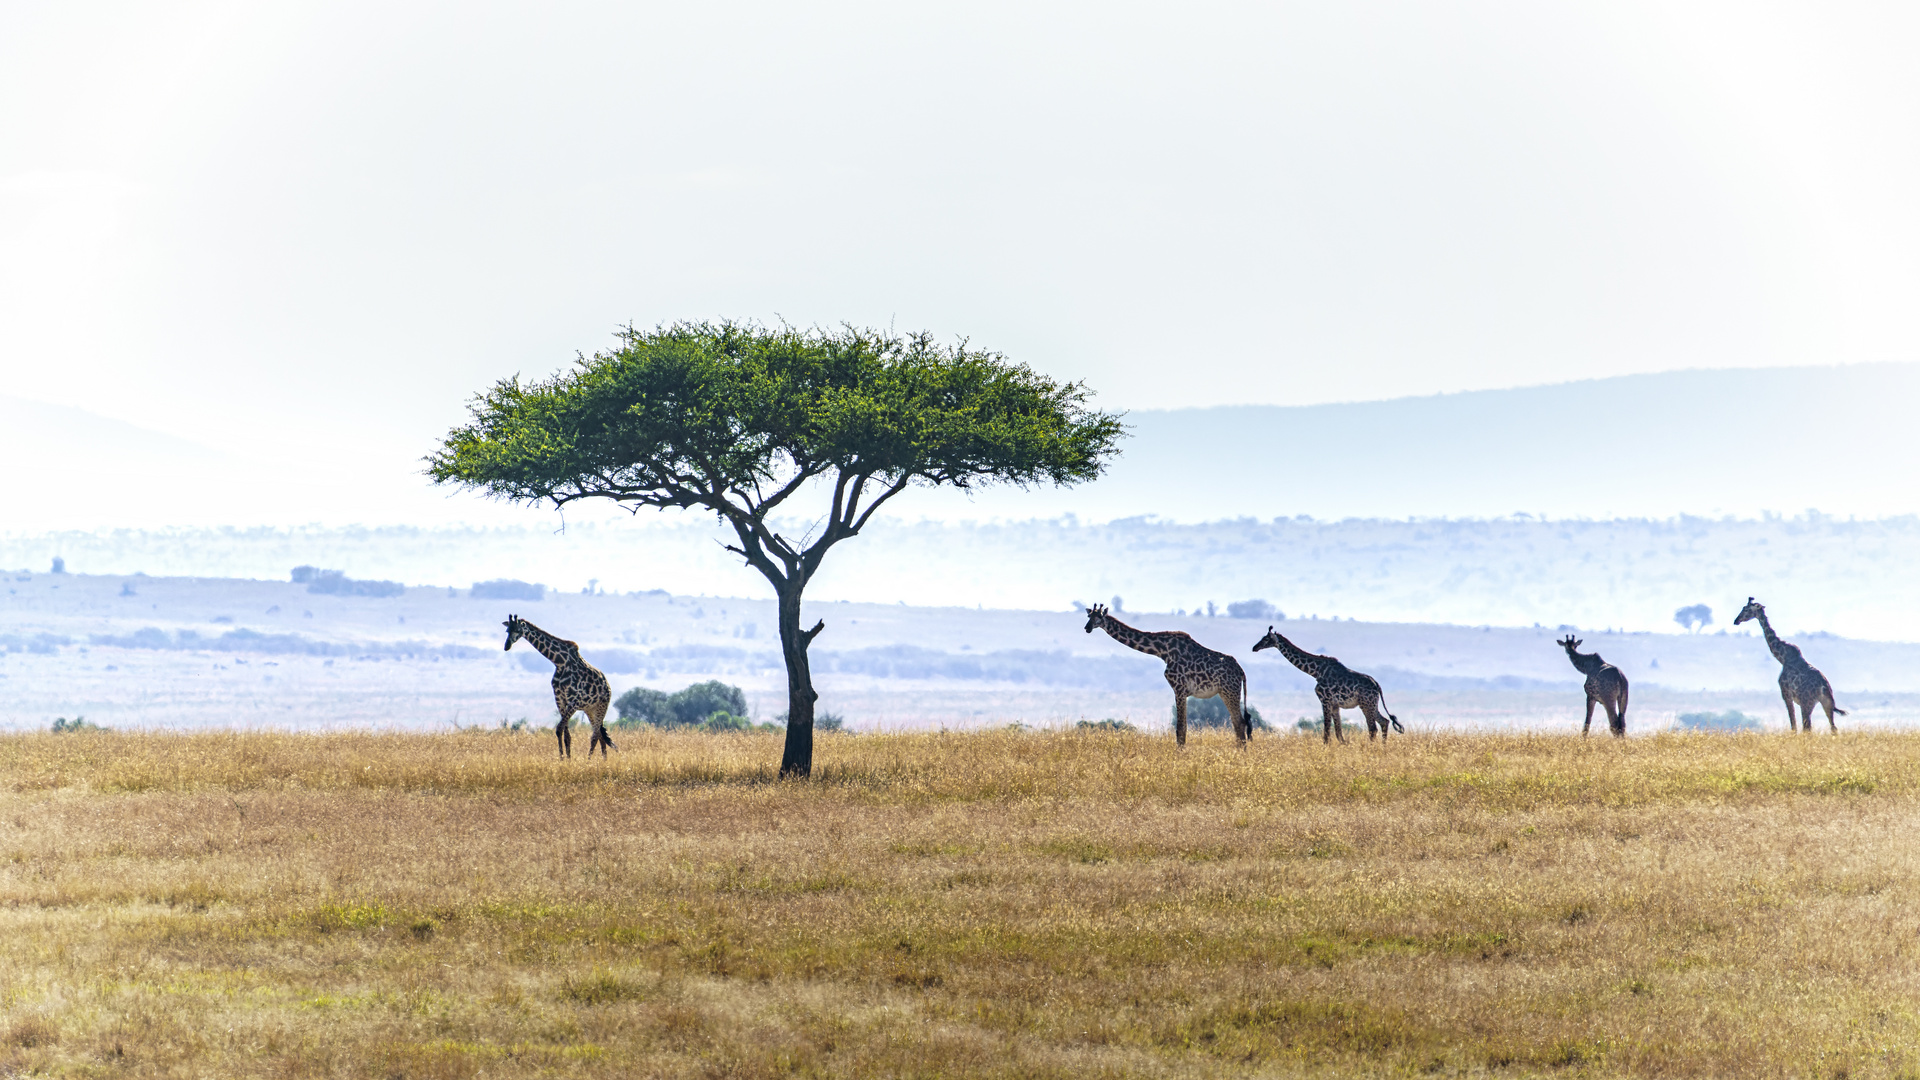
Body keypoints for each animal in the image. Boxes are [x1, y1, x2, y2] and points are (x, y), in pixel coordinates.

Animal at [503, 614, 614, 757]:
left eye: (517, 630)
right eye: (507, 630)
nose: (506, 646)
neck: (559, 662)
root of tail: (608, 686)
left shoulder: (574, 701)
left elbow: (559, 728)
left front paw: (564, 758)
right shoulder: (560, 699)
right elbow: (566, 735)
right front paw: (565, 759)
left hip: (602, 706)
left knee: (595, 736)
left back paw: (589, 760)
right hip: (590, 709)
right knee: (600, 735)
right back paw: (603, 760)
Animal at [1082, 599, 1259, 745]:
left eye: (1099, 618)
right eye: (1089, 616)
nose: (1087, 628)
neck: (1162, 651)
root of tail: (1241, 671)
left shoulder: (1179, 689)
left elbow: (1180, 729)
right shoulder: (1182, 691)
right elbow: (1182, 728)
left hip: (1230, 691)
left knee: (1239, 723)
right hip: (1225, 692)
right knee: (1238, 723)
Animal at [1251, 622, 1405, 737]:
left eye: (1265, 639)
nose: (1254, 647)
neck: (1316, 671)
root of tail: (1377, 685)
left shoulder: (1325, 700)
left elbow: (1326, 732)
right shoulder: (1335, 704)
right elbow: (1338, 733)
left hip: (1366, 703)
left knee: (1373, 728)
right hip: (1372, 704)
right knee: (1384, 722)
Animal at [1728, 595, 1843, 730]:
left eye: (1746, 609)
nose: (1736, 620)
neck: (1782, 658)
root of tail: (1824, 686)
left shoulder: (1786, 694)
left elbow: (1793, 724)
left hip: (1807, 703)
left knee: (1808, 728)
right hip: (1827, 703)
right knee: (1833, 728)